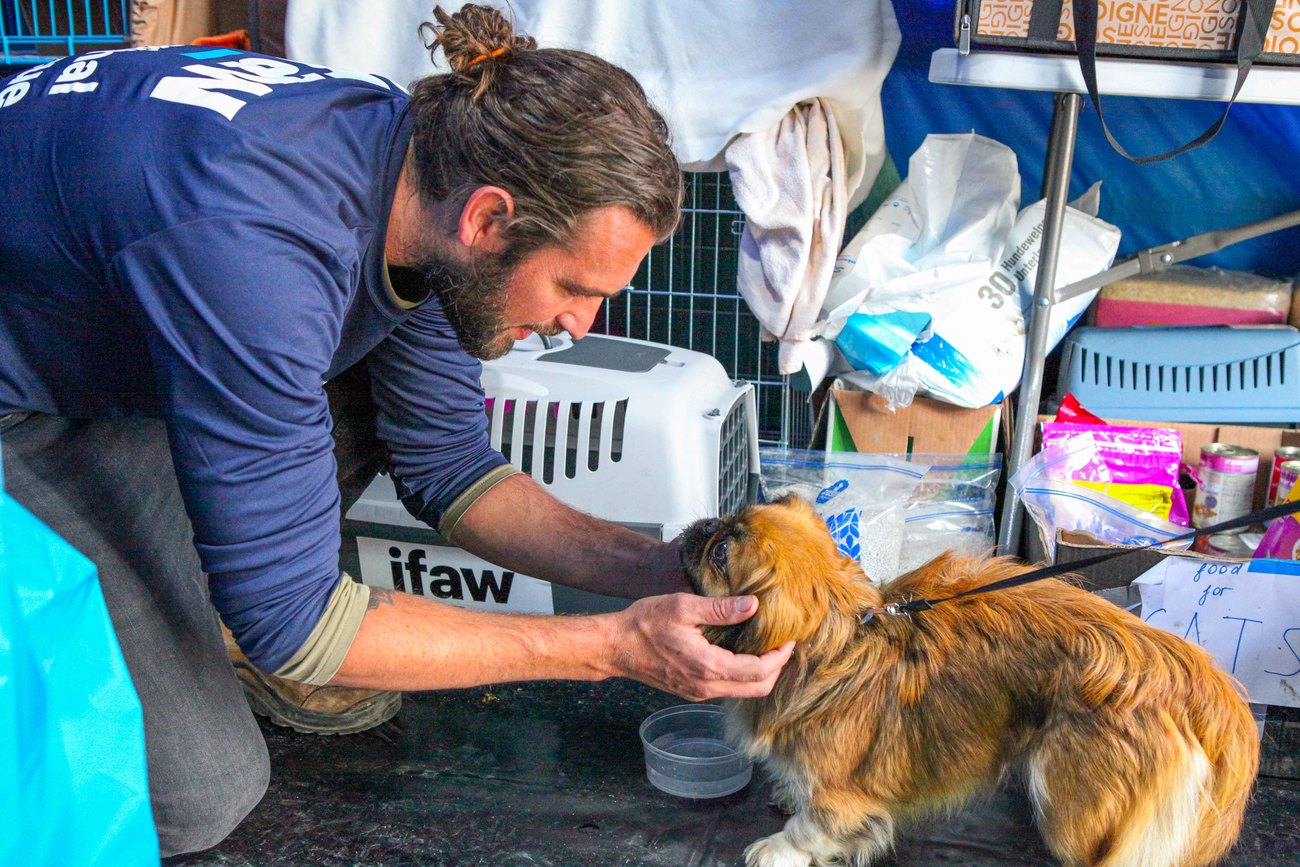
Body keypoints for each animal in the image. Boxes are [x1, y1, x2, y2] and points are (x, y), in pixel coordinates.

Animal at [681, 493, 1258, 867]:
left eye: (721, 555)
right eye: (727, 519)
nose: (702, 526)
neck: (838, 641)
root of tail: (1179, 671)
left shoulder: (842, 795)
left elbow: (813, 826)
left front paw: (776, 849)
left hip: (1068, 789)